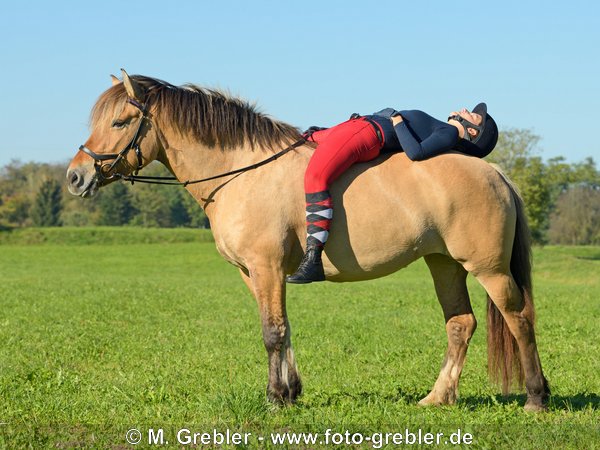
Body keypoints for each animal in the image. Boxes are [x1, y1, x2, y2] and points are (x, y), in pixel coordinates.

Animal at [64, 70, 548, 412]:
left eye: (120, 121)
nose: (76, 177)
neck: (242, 170)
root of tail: (495, 172)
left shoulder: (265, 267)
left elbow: (272, 332)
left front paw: (276, 398)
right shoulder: (255, 274)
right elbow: (282, 327)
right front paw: (291, 391)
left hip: (487, 268)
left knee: (519, 318)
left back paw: (535, 397)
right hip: (444, 263)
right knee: (460, 324)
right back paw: (438, 397)